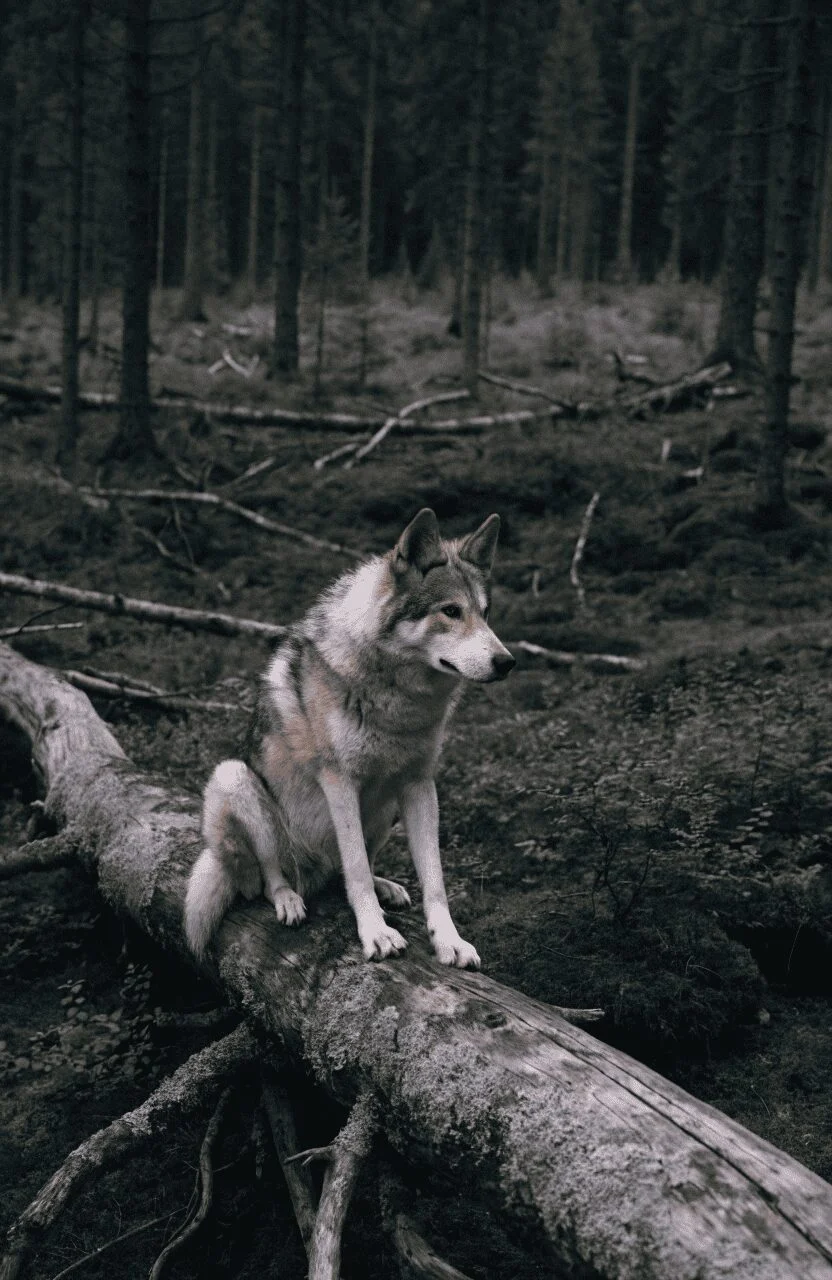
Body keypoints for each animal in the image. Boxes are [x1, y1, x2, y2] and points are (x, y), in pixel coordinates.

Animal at [183, 507, 514, 968]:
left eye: (485, 613)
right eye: (450, 611)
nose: (507, 662)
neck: (398, 702)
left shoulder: (419, 784)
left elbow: (433, 881)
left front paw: (450, 942)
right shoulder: (340, 782)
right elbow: (355, 867)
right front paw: (376, 935)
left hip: (384, 809)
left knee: (349, 868)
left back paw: (384, 886)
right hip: (234, 779)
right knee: (271, 876)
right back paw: (289, 899)